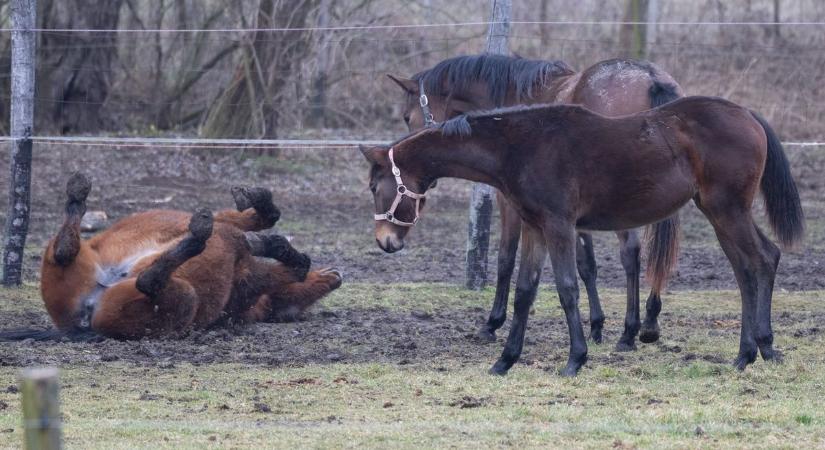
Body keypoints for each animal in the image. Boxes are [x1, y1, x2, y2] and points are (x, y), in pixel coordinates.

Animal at [358, 96, 800, 376]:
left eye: (375, 186)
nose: (385, 242)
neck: (521, 146)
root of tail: (747, 115)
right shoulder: (535, 228)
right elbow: (525, 291)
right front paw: (505, 361)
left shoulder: (559, 226)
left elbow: (567, 288)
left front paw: (575, 359)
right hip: (718, 211)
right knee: (749, 269)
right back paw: (747, 354)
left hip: (728, 210)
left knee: (761, 261)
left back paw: (762, 347)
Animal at [386, 52, 684, 348]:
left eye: (407, 116)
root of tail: (650, 78)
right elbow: (586, 265)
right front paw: (596, 325)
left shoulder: (512, 203)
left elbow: (506, 258)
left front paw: (493, 323)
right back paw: (649, 322)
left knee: (630, 253)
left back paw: (629, 331)